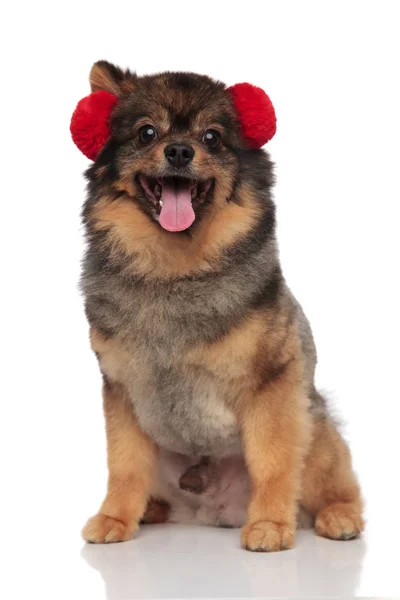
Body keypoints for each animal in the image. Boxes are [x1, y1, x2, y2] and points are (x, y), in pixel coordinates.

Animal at [76, 58, 364, 552]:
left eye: (212, 137)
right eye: (146, 133)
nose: (178, 151)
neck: (173, 272)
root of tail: (209, 512)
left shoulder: (273, 386)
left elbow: (273, 462)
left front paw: (270, 525)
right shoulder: (121, 390)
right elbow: (125, 465)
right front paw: (115, 517)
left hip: (314, 428)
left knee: (339, 486)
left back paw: (338, 517)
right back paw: (149, 511)